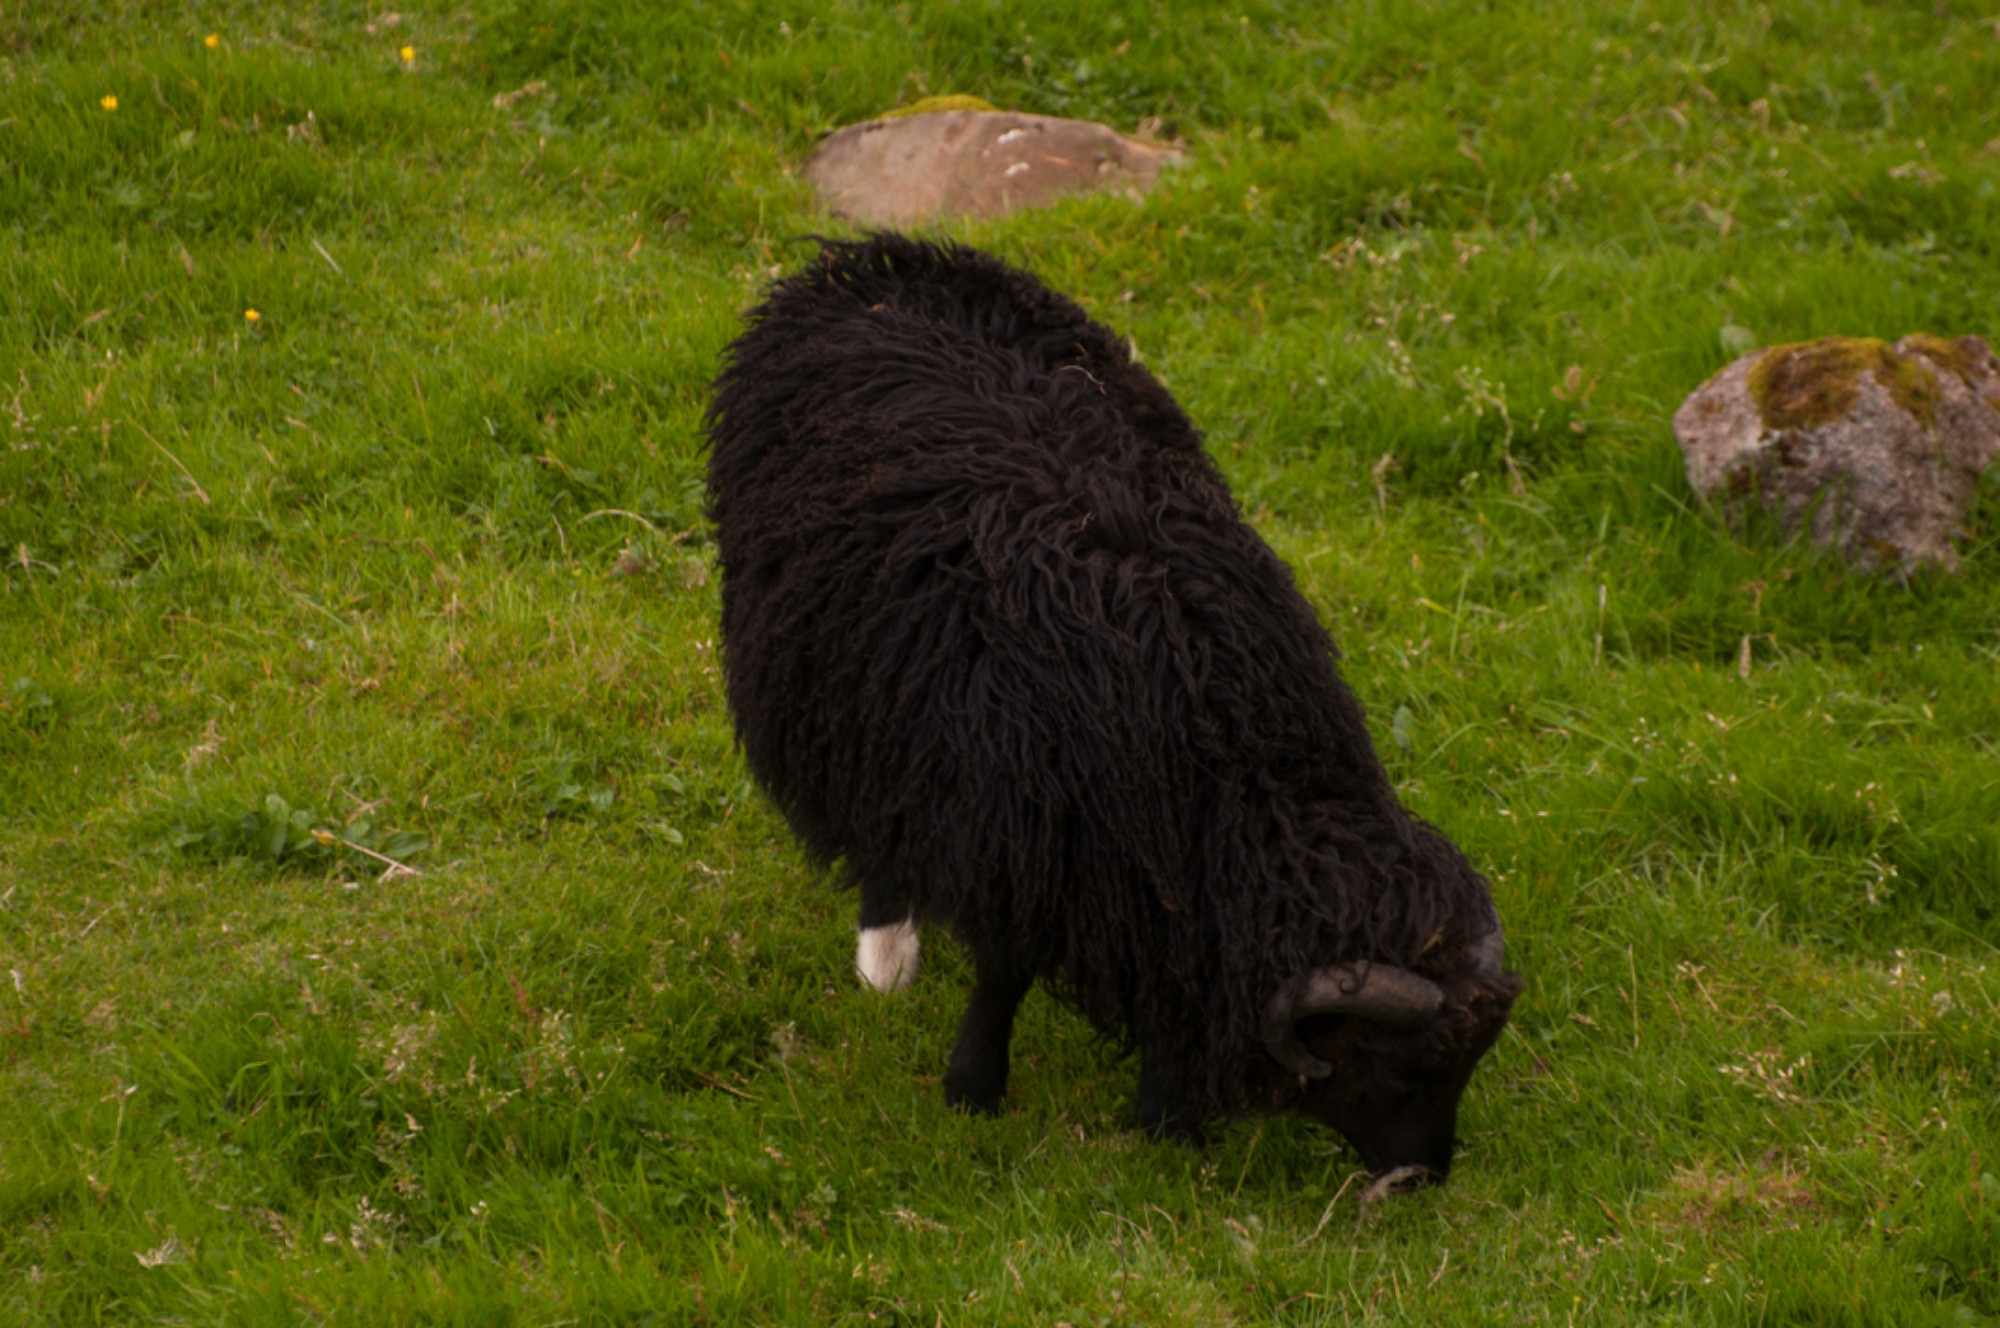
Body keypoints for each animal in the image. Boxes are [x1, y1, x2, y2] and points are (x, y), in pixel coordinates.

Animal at [704, 233, 1512, 1176]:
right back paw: (886, 956)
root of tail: (878, 261)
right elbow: (1006, 966)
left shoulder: (1159, 881)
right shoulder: (1021, 823)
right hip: (853, 691)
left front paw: (1166, 1119)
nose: (1424, 1177)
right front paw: (973, 1087)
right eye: (1392, 1063)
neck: (1228, 760)